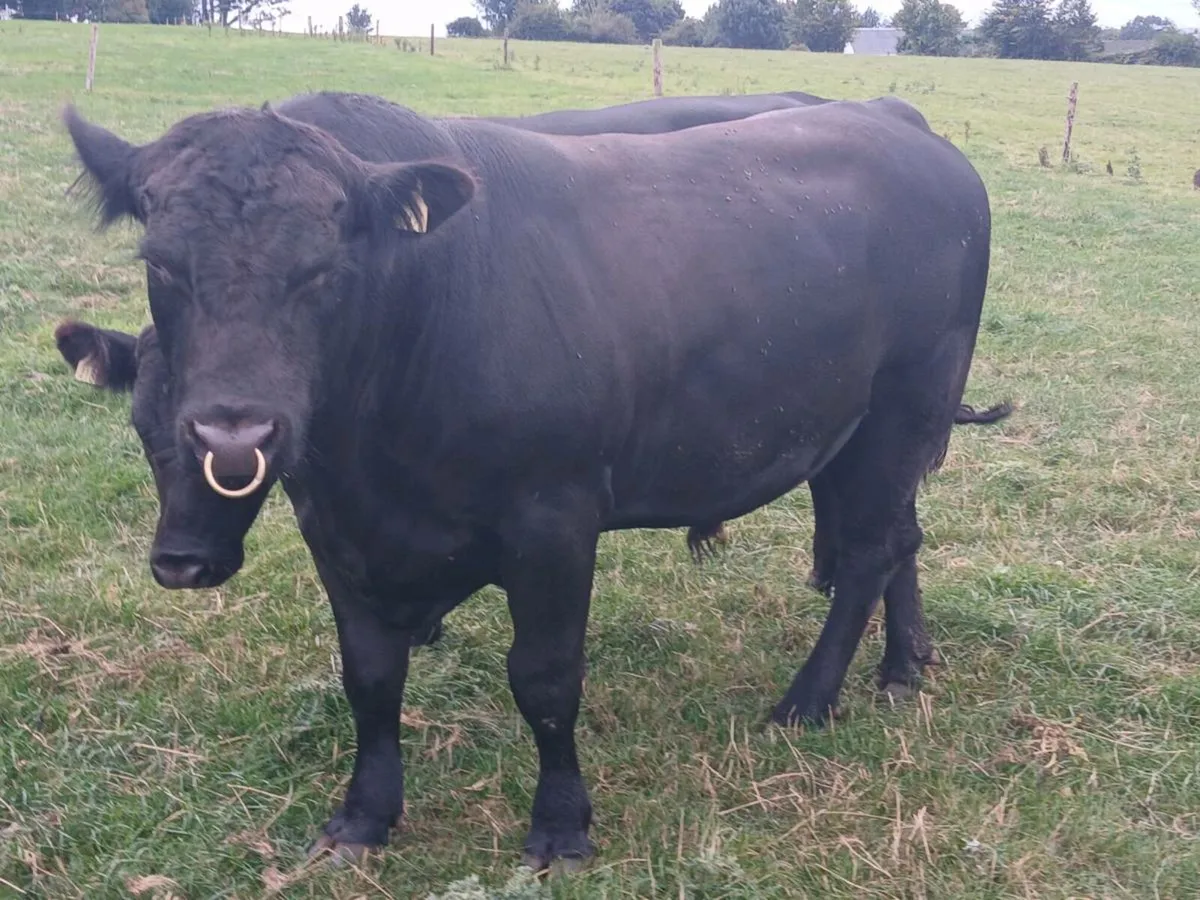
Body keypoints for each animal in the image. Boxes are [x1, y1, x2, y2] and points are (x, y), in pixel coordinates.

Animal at [63, 91, 1000, 871]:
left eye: (325, 266)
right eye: (161, 261)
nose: (236, 434)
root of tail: (893, 118)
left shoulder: (553, 519)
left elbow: (545, 678)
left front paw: (560, 828)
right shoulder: (334, 526)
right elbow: (369, 677)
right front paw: (363, 818)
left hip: (906, 404)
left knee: (872, 546)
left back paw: (806, 701)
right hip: (851, 431)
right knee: (892, 537)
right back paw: (902, 665)